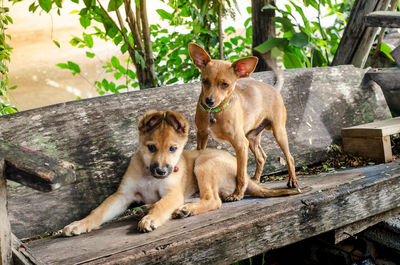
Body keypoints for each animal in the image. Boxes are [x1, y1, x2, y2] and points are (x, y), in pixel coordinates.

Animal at [63, 110, 306, 234]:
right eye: (151, 147)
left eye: (173, 149)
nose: (162, 171)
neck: (149, 175)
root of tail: (245, 176)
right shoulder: (122, 196)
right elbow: (98, 211)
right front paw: (79, 224)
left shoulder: (173, 194)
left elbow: (162, 205)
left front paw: (152, 218)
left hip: (203, 164)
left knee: (213, 200)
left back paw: (185, 210)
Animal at [189, 42, 298, 200]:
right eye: (205, 81)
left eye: (225, 84)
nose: (209, 101)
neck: (216, 112)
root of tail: (274, 89)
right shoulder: (202, 135)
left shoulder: (240, 144)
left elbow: (240, 173)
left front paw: (237, 194)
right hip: (251, 138)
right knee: (262, 157)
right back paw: (256, 180)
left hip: (278, 132)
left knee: (289, 157)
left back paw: (293, 181)